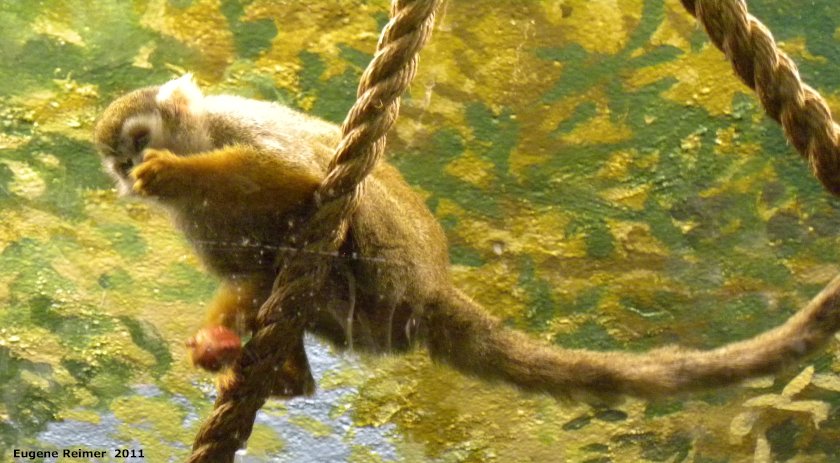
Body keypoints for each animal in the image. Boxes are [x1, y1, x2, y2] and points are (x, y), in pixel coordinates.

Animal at [94, 74, 840, 401]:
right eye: (118, 160)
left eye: (139, 143)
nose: (132, 170)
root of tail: (433, 289)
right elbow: (243, 275)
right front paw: (216, 337)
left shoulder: (234, 123)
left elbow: (296, 179)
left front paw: (176, 171)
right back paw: (283, 374)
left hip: (393, 262)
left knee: (341, 203)